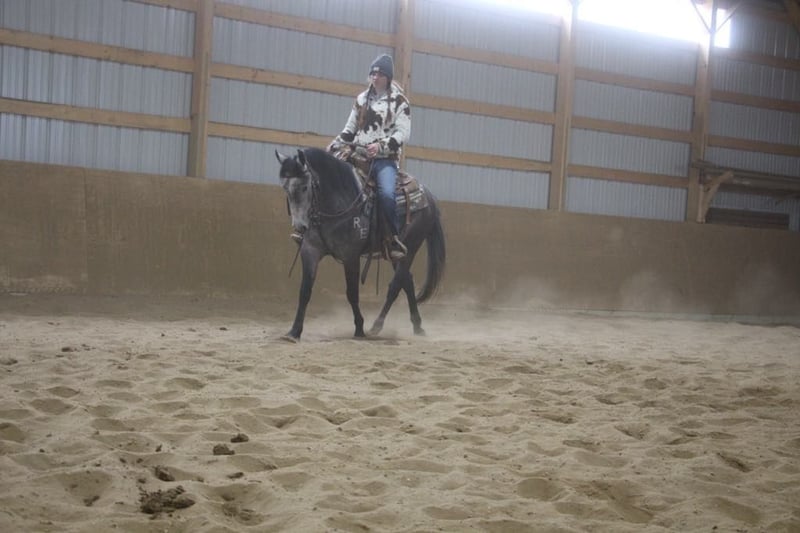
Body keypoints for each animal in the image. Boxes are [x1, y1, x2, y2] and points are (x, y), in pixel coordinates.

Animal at [275, 147, 446, 342]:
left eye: (304, 187)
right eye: (285, 188)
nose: (300, 227)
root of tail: (428, 196)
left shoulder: (350, 257)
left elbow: (352, 293)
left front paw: (359, 328)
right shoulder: (310, 251)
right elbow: (305, 291)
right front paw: (294, 332)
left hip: (412, 246)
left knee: (395, 286)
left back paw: (376, 326)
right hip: (397, 254)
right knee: (407, 282)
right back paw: (417, 326)